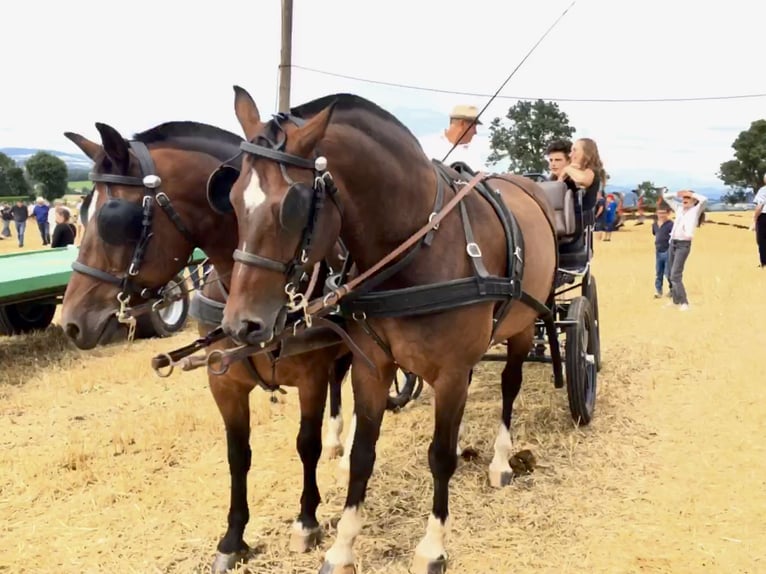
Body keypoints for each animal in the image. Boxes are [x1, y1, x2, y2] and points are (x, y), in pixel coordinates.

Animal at [60, 120, 354, 572]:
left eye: (115, 220)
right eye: (82, 213)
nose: (71, 323)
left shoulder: (311, 377)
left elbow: (307, 444)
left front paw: (306, 519)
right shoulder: (224, 383)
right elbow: (238, 455)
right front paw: (233, 539)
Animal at [216, 86, 560, 574]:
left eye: (292, 207)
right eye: (232, 198)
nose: (240, 324)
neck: (416, 247)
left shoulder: (451, 372)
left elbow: (439, 456)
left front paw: (432, 546)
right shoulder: (373, 366)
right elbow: (363, 454)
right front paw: (342, 547)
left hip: (524, 328)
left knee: (510, 387)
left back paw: (500, 461)